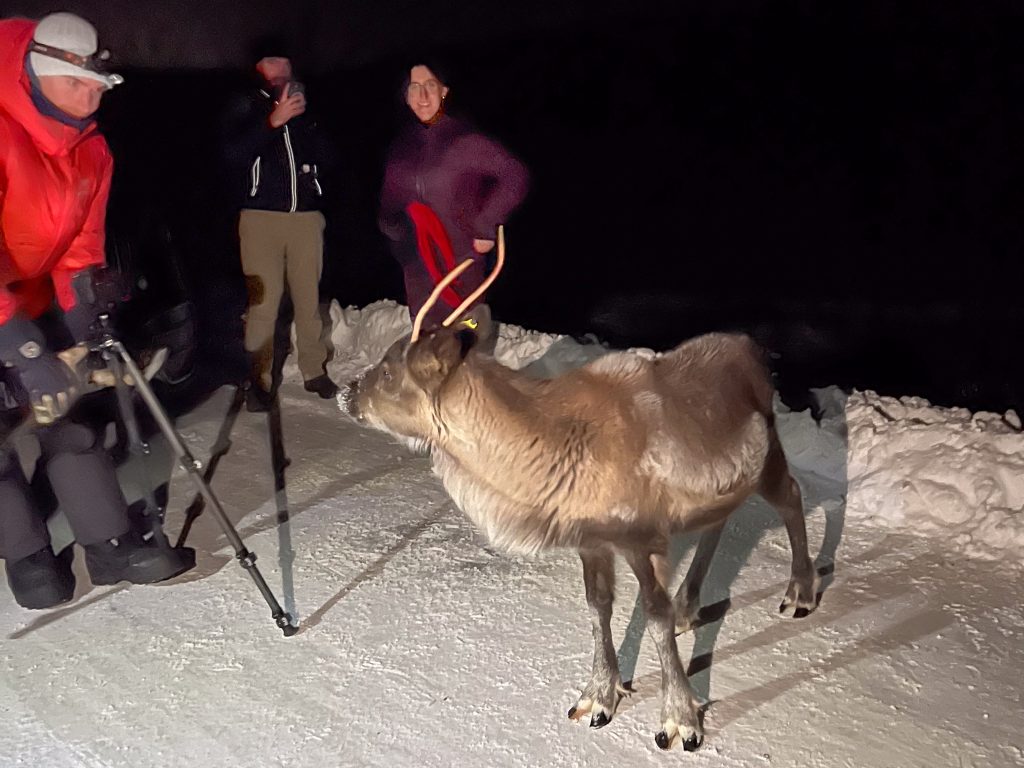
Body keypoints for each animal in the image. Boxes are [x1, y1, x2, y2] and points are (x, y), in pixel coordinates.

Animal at [339, 228, 821, 751]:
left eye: (389, 372)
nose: (346, 392)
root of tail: (754, 348)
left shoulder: (641, 536)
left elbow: (652, 615)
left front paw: (680, 721)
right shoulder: (592, 540)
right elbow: (598, 608)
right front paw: (597, 698)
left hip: (769, 450)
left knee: (791, 495)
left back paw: (800, 593)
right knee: (721, 518)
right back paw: (690, 605)